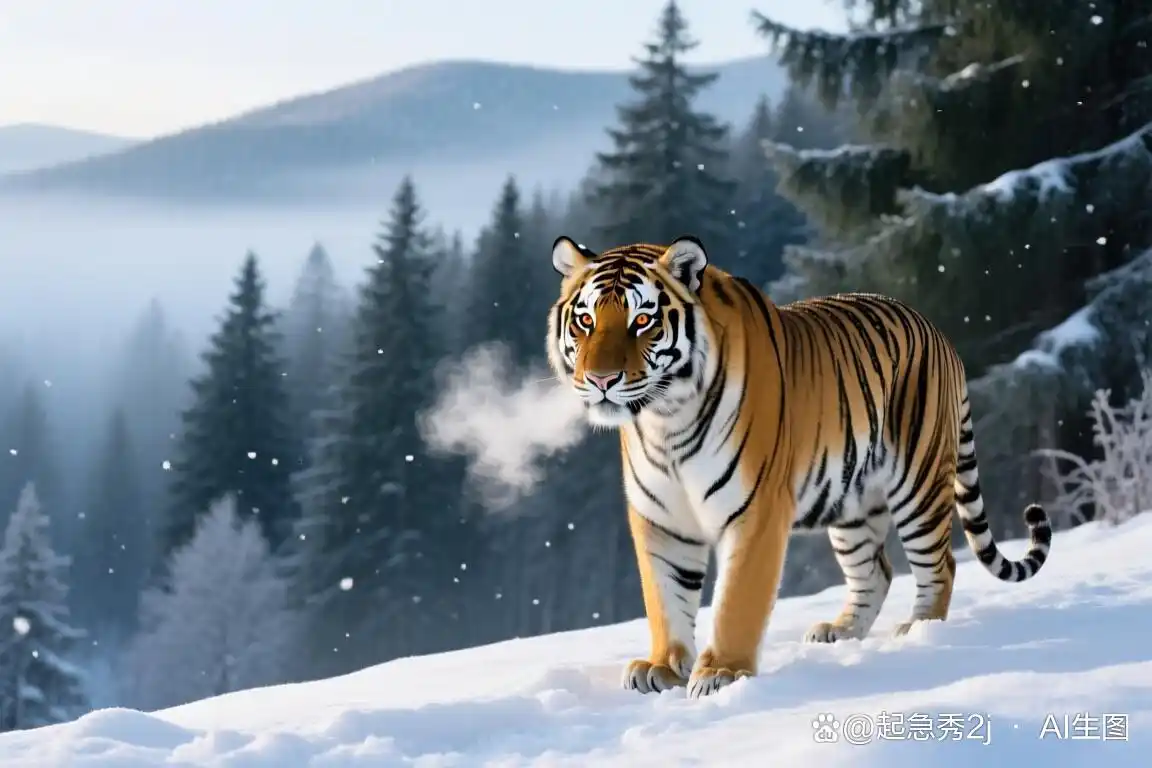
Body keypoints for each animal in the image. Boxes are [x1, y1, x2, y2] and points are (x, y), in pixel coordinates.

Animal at [546, 234, 1053, 700]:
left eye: (643, 321)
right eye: (586, 320)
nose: (600, 380)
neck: (664, 421)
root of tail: (940, 333)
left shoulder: (756, 510)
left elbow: (737, 598)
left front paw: (722, 673)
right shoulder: (661, 518)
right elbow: (665, 596)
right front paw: (663, 667)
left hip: (918, 484)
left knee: (940, 564)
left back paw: (921, 631)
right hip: (852, 502)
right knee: (876, 571)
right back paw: (840, 632)